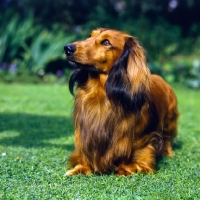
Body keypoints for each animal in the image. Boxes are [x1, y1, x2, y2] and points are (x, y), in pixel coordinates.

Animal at [63, 28, 178, 175]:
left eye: (106, 42)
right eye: (90, 36)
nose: (67, 48)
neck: (101, 95)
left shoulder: (144, 146)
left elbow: (133, 161)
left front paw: (124, 169)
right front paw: (79, 169)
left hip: (169, 121)